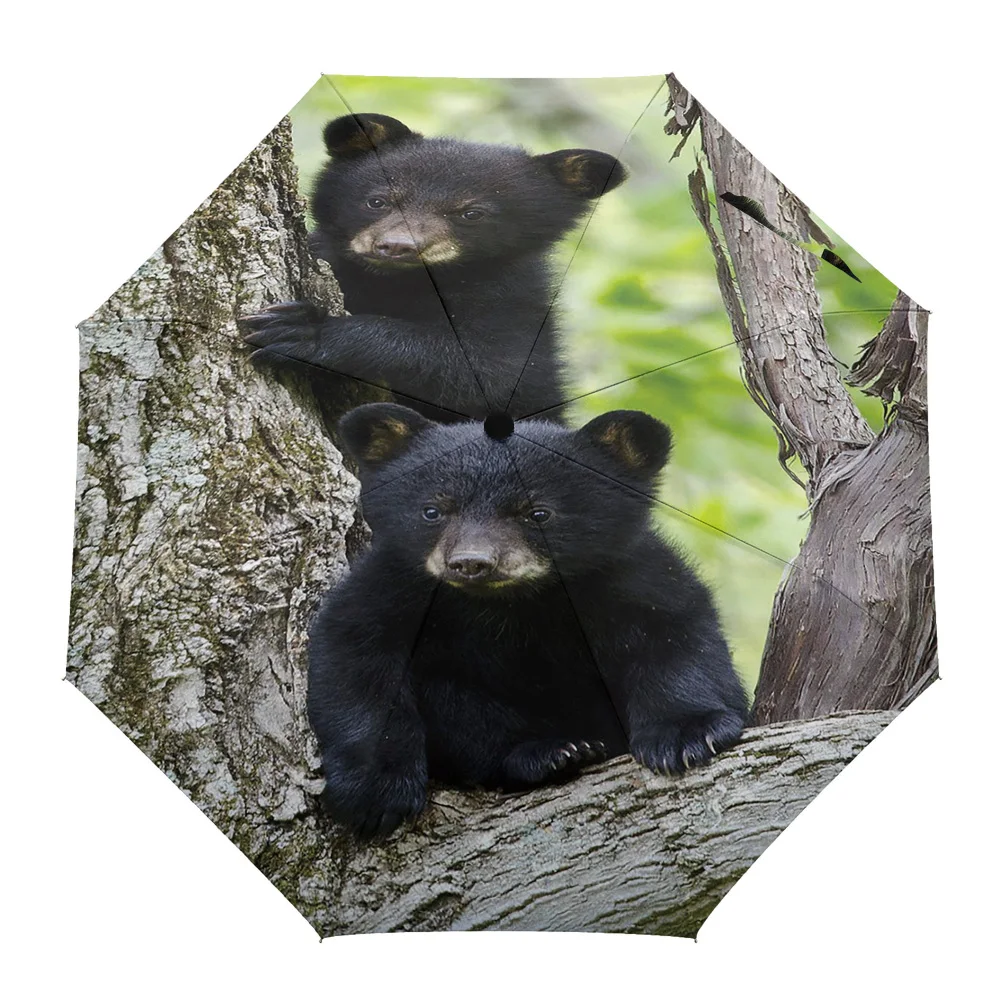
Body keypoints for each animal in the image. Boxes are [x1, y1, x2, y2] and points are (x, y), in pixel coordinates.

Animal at [242, 113, 627, 423]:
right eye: (377, 201)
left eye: (471, 213)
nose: (396, 246)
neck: (401, 283)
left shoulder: (514, 306)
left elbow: (491, 371)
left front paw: (306, 331)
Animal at [307, 403, 749, 838]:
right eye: (432, 510)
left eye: (537, 512)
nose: (471, 562)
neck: (514, 604)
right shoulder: (394, 587)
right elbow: (357, 653)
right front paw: (375, 793)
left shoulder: (632, 577)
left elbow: (675, 634)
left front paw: (688, 735)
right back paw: (550, 752)